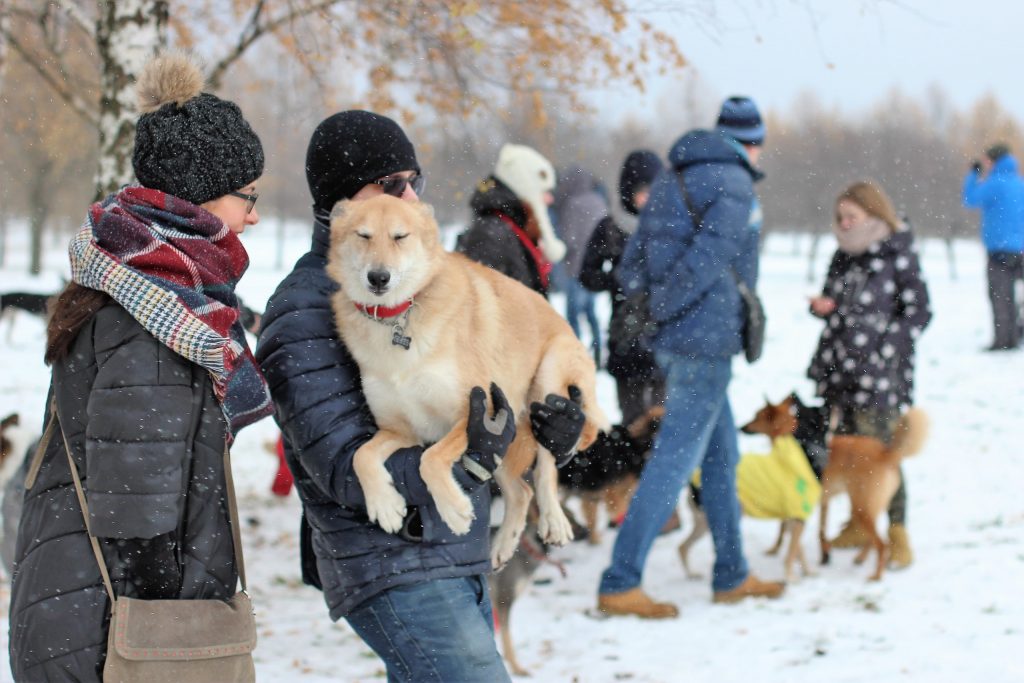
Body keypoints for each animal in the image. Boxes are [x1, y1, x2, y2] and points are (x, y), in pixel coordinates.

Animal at [325, 193, 606, 565]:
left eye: (400, 237)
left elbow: (430, 460)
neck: (399, 319)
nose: (378, 277)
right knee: (521, 491)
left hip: (548, 382)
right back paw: (502, 546)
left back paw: (554, 520)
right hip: (505, 442)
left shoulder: (475, 413)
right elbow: (361, 456)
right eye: (364, 235)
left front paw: (454, 510)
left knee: (547, 463)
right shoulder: (400, 430)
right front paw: (385, 505)